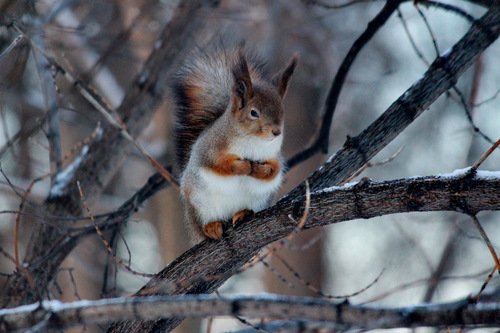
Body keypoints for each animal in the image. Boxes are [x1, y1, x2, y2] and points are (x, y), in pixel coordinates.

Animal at [172, 46, 296, 241]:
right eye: (253, 113)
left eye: (282, 110)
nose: (276, 132)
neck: (253, 140)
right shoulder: (210, 150)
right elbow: (220, 165)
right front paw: (245, 166)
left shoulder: (274, 156)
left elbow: (273, 171)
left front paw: (258, 169)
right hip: (200, 204)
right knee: (204, 224)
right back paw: (211, 227)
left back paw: (243, 213)